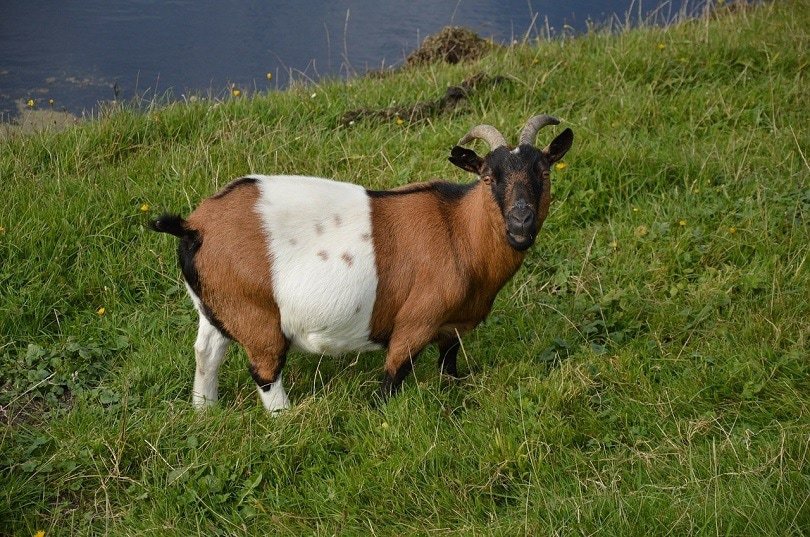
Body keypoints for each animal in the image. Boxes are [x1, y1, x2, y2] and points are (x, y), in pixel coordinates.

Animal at [151, 115, 573, 412]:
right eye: (487, 176)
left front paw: (452, 393)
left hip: (217, 308)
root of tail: (194, 226)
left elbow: (449, 364)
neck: (458, 229)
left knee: (207, 352)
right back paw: (285, 419)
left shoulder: (454, 326)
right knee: (265, 370)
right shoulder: (416, 321)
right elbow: (393, 375)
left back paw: (205, 411)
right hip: (255, 314)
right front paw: (381, 415)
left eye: (543, 170)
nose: (521, 222)